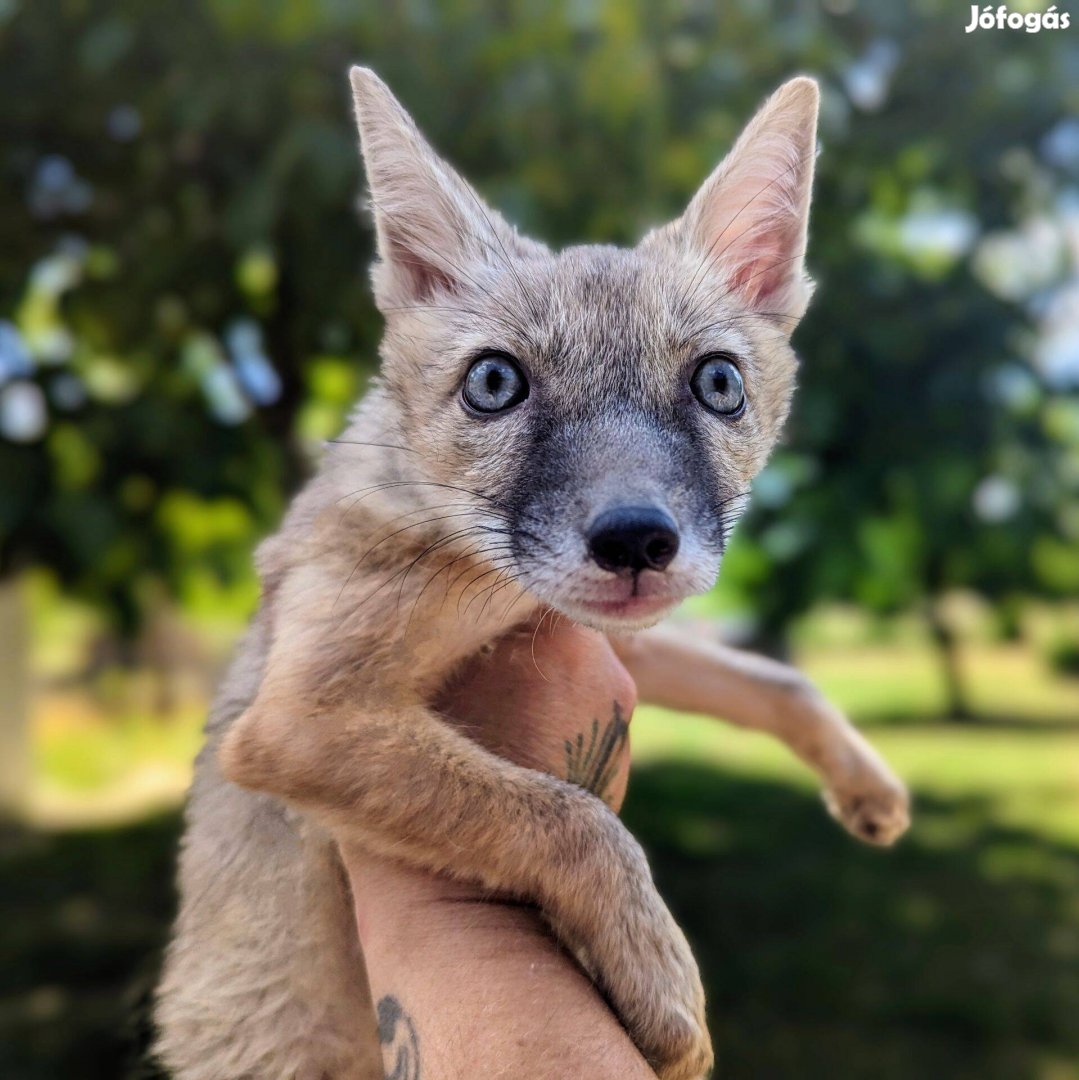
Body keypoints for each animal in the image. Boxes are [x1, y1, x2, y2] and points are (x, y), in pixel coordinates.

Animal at [154, 69, 911, 1080]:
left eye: (717, 383)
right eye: (493, 384)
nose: (636, 540)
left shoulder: (609, 631)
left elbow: (774, 678)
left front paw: (861, 782)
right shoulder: (299, 717)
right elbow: (569, 817)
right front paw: (662, 984)